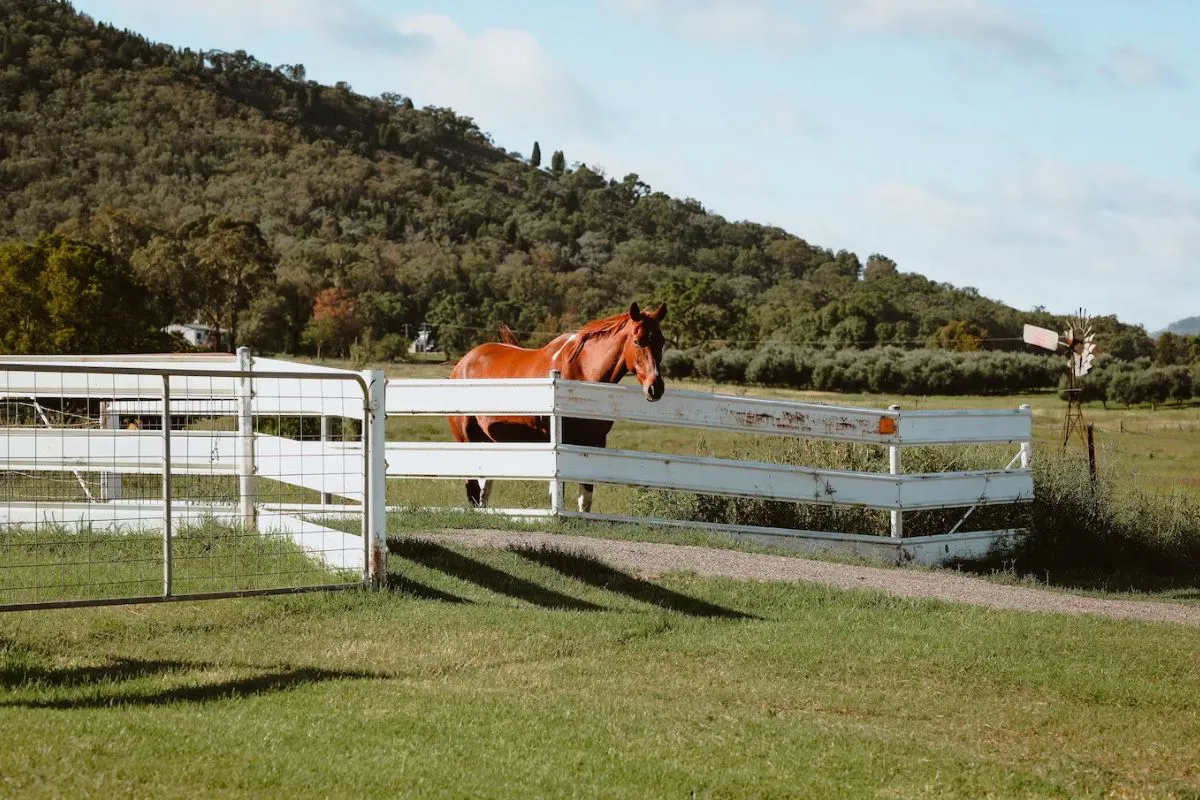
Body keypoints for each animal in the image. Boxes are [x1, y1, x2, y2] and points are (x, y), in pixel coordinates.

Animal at [448, 299, 672, 513]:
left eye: (661, 341)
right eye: (637, 341)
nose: (655, 387)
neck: (581, 373)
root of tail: (462, 364)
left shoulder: (595, 442)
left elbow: (586, 497)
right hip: (466, 439)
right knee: (472, 487)